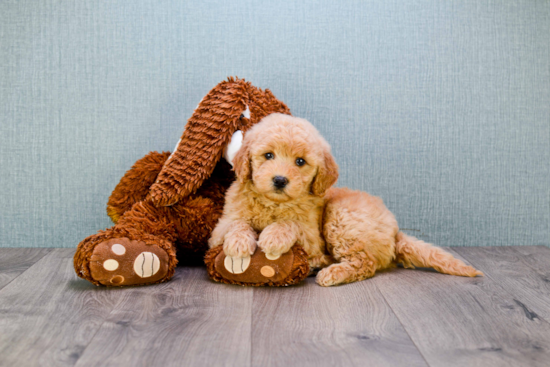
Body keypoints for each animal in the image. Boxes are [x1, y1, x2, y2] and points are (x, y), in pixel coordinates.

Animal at [209, 113, 486, 286]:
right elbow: (237, 223)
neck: (274, 203)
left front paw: (273, 236)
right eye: (268, 155)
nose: (279, 180)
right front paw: (238, 244)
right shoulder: (220, 226)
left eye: (300, 161)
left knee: (365, 263)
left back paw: (331, 272)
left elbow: (291, 224)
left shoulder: (311, 237)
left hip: (341, 217)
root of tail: (395, 230)